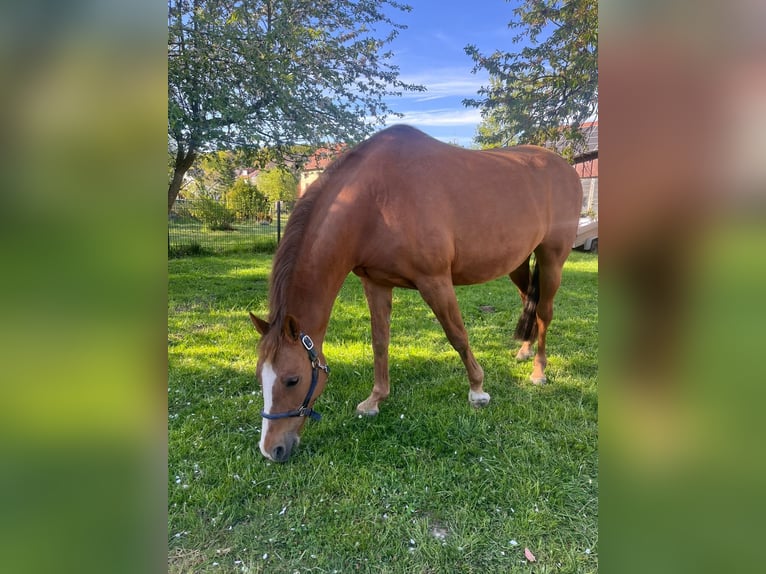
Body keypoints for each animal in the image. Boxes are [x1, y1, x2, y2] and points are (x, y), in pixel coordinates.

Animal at [250, 125, 582, 462]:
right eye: (260, 377)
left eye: (292, 379)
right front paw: (375, 399)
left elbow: (457, 335)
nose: (271, 449)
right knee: (528, 300)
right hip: (518, 263)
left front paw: (477, 390)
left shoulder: (434, 280)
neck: (375, 200)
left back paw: (538, 371)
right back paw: (524, 351)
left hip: (552, 259)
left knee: (544, 312)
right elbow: (380, 342)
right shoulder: (376, 283)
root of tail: (566, 168)